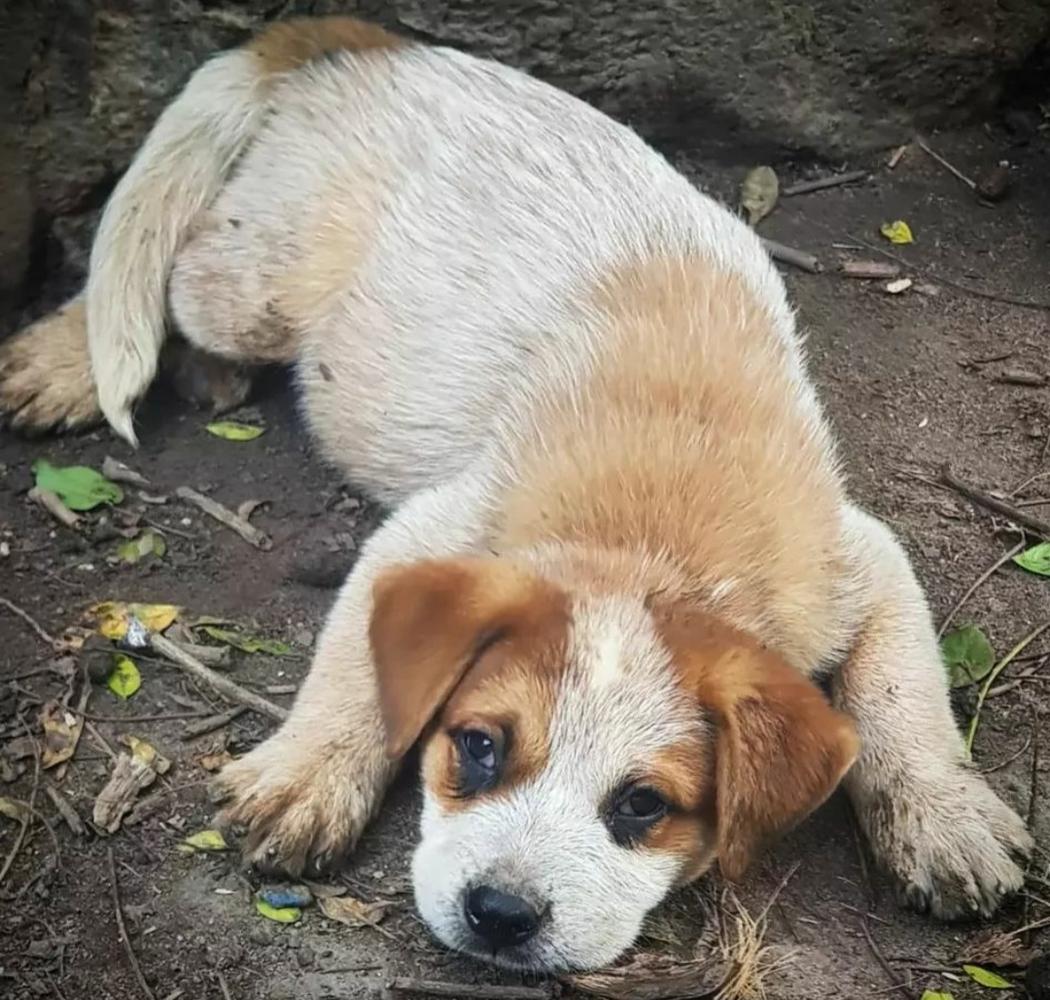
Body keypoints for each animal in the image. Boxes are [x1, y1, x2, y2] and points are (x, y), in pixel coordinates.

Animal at [2, 13, 1033, 970]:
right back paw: (66, 359)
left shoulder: (860, 560)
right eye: (480, 747)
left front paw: (947, 818)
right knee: (160, 269)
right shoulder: (432, 528)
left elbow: (903, 696)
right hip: (253, 287)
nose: (499, 915)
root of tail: (374, 44)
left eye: (643, 805)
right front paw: (306, 777)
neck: (655, 542)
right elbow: (357, 670)